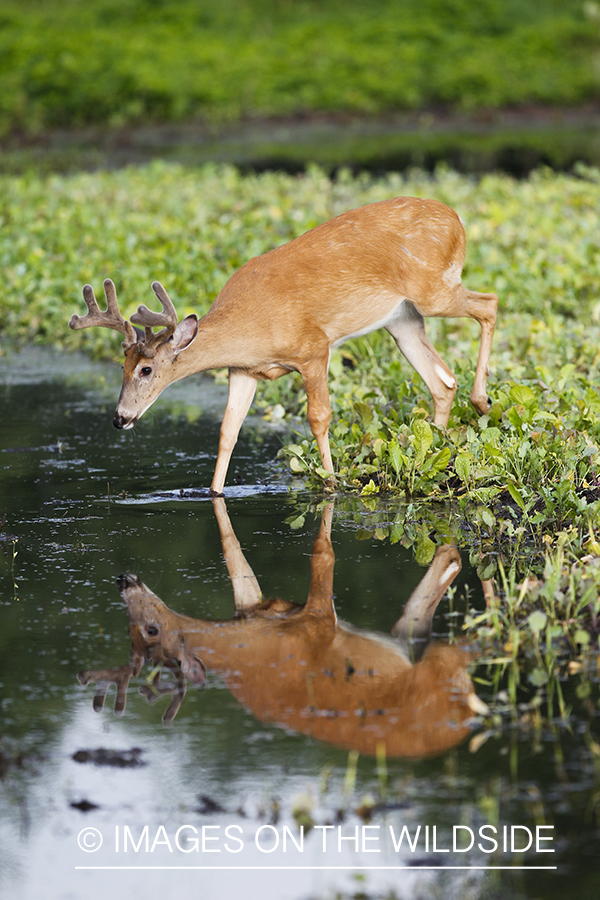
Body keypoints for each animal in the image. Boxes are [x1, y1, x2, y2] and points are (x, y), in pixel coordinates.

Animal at [69, 197, 496, 496]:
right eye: (121, 367)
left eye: (146, 369)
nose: (120, 418)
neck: (254, 326)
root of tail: (457, 219)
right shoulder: (242, 370)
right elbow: (228, 430)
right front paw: (213, 492)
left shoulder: (314, 349)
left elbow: (318, 417)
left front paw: (330, 483)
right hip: (402, 320)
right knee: (443, 381)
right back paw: (434, 450)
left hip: (433, 291)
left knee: (489, 304)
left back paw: (481, 401)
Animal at [78, 500, 488, 760]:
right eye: (129, 632)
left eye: (150, 630)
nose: (123, 579)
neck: (251, 639)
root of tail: (463, 722)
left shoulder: (316, 620)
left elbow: (324, 554)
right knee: (448, 569)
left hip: (440, 667)